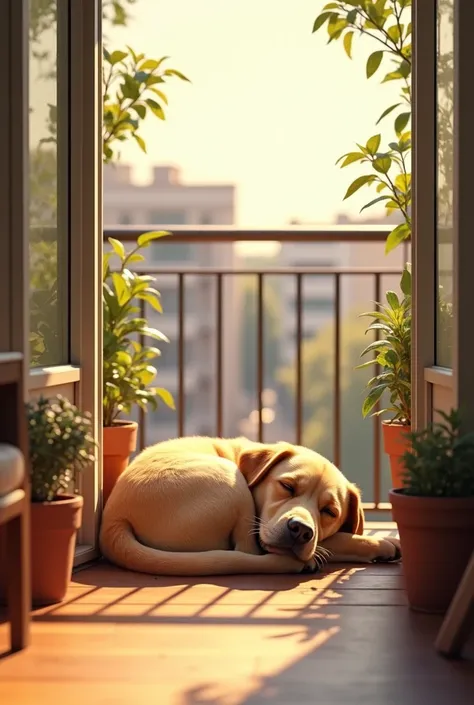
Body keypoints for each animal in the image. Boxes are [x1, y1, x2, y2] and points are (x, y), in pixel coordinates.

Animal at [100, 438, 400, 576]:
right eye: (287, 486)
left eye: (329, 512)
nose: (301, 530)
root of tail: (114, 519)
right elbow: (336, 540)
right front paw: (380, 543)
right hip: (231, 485)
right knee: (247, 553)